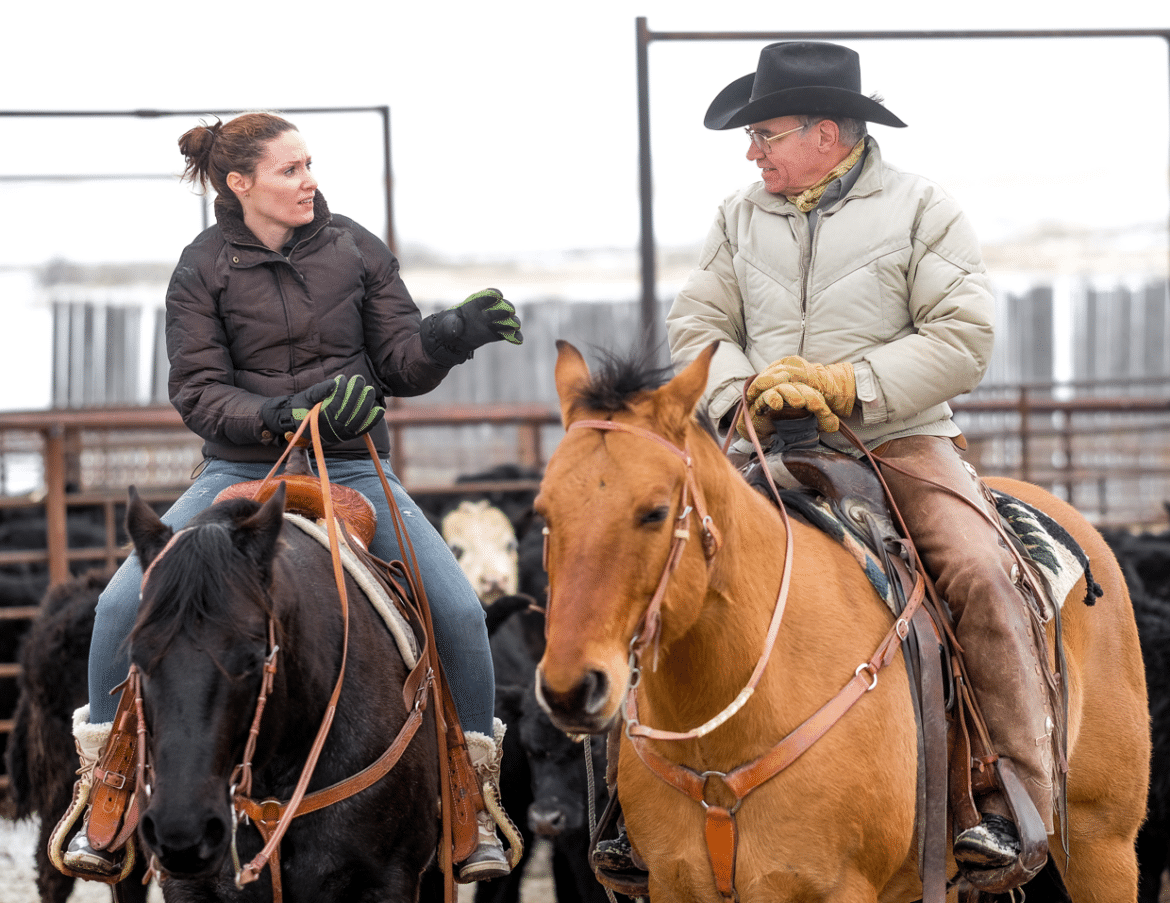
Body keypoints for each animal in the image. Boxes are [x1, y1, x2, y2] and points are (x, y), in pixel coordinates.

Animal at [535, 341, 1146, 898]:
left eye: (656, 511)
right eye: (543, 511)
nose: (570, 688)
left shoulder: (837, 886)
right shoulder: (675, 885)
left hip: (1103, 842)